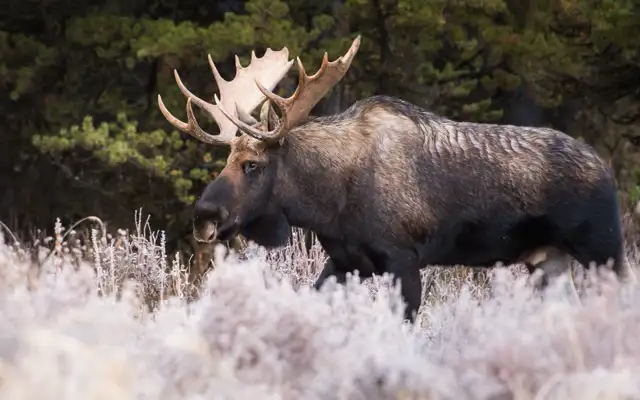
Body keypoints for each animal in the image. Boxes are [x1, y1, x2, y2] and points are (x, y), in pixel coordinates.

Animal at [157, 36, 636, 322]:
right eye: (226, 160)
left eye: (253, 165)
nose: (204, 216)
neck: (328, 203)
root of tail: (606, 169)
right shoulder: (347, 261)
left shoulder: (403, 258)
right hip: (549, 260)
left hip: (604, 248)